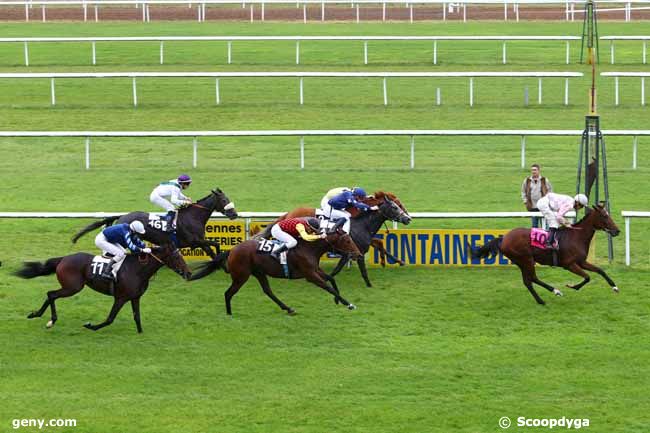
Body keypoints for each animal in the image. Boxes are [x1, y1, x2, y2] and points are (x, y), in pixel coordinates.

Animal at [15, 243, 190, 330]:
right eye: (177, 257)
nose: (188, 273)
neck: (137, 270)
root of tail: (63, 259)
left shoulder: (135, 297)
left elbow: (137, 317)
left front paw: (141, 334)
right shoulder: (121, 298)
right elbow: (110, 319)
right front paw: (91, 326)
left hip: (70, 287)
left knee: (51, 294)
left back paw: (37, 315)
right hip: (73, 287)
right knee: (51, 294)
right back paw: (51, 320)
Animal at [71, 188, 238, 256]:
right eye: (224, 200)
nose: (234, 214)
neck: (193, 217)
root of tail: (122, 216)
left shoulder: (199, 242)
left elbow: (212, 249)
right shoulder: (195, 241)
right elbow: (215, 245)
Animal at [192, 230, 362, 314]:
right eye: (347, 240)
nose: (358, 254)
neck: (308, 248)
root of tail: (233, 250)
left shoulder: (314, 270)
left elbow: (331, 280)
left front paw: (337, 300)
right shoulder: (310, 275)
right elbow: (328, 286)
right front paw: (349, 304)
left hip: (259, 273)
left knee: (268, 291)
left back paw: (288, 308)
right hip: (241, 276)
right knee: (228, 293)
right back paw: (229, 314)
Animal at [468, 205, 620, 304]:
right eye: (604, 216)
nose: (617, 231)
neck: (576, 236)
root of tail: (504, 238)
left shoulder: (581, 262)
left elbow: (600, 270)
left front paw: (614, 287)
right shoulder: (569, 264)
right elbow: (587, 277)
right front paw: (573, 286)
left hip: (522, 262)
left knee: (528, 281)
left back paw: (542, 299)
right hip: (526, 260)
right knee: (532, 278)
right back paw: (553, 292)